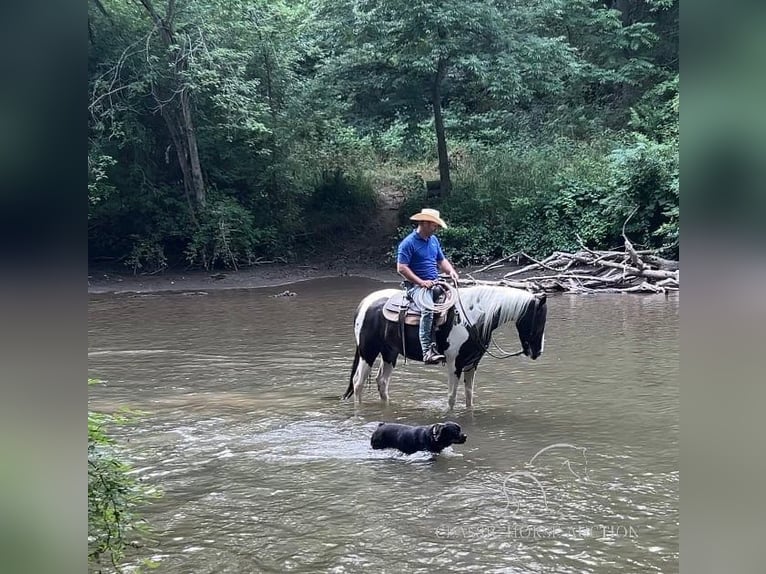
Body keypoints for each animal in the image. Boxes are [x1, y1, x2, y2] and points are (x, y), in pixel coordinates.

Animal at [342, 286, 544, 408]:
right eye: (538, 320)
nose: (537, 352)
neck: (472, 317)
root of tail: (365, 303)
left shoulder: (472, 363)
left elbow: (469, 396)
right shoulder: (454, 363)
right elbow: (451, 398)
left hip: (390, 353)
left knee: (382, 382)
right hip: (368, 352)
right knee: (358, 383)